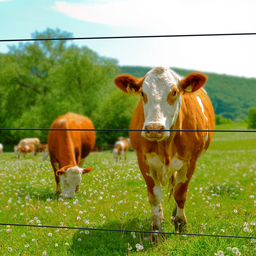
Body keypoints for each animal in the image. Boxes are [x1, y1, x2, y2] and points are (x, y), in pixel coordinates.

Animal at [115, 67, 215, 239]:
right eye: (142, 93)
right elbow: (154, 197)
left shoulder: (191, 161)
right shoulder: (144, 161)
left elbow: (180, 194)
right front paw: (156, 231)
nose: (154, 128)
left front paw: (181, 225)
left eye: (174, 92)